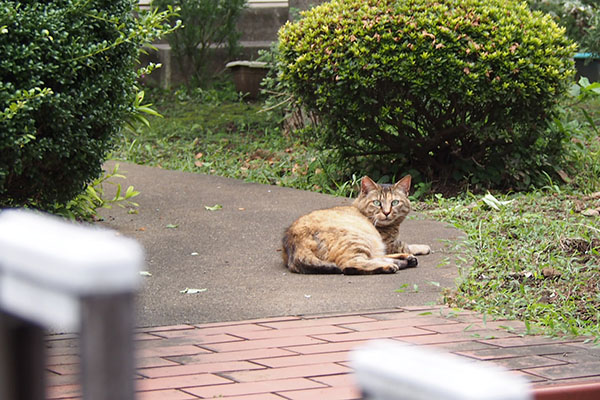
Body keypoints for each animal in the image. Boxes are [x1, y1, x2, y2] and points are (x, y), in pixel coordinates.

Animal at [282, 176, 428, 276]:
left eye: (395, 202)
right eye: (377, 203)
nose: (386, 212)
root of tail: (293, 239)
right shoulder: (389, 243)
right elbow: (406, 245)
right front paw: (423, 247)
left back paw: (404, 260)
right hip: (357, 239)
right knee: (350, 265)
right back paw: (392, 265)